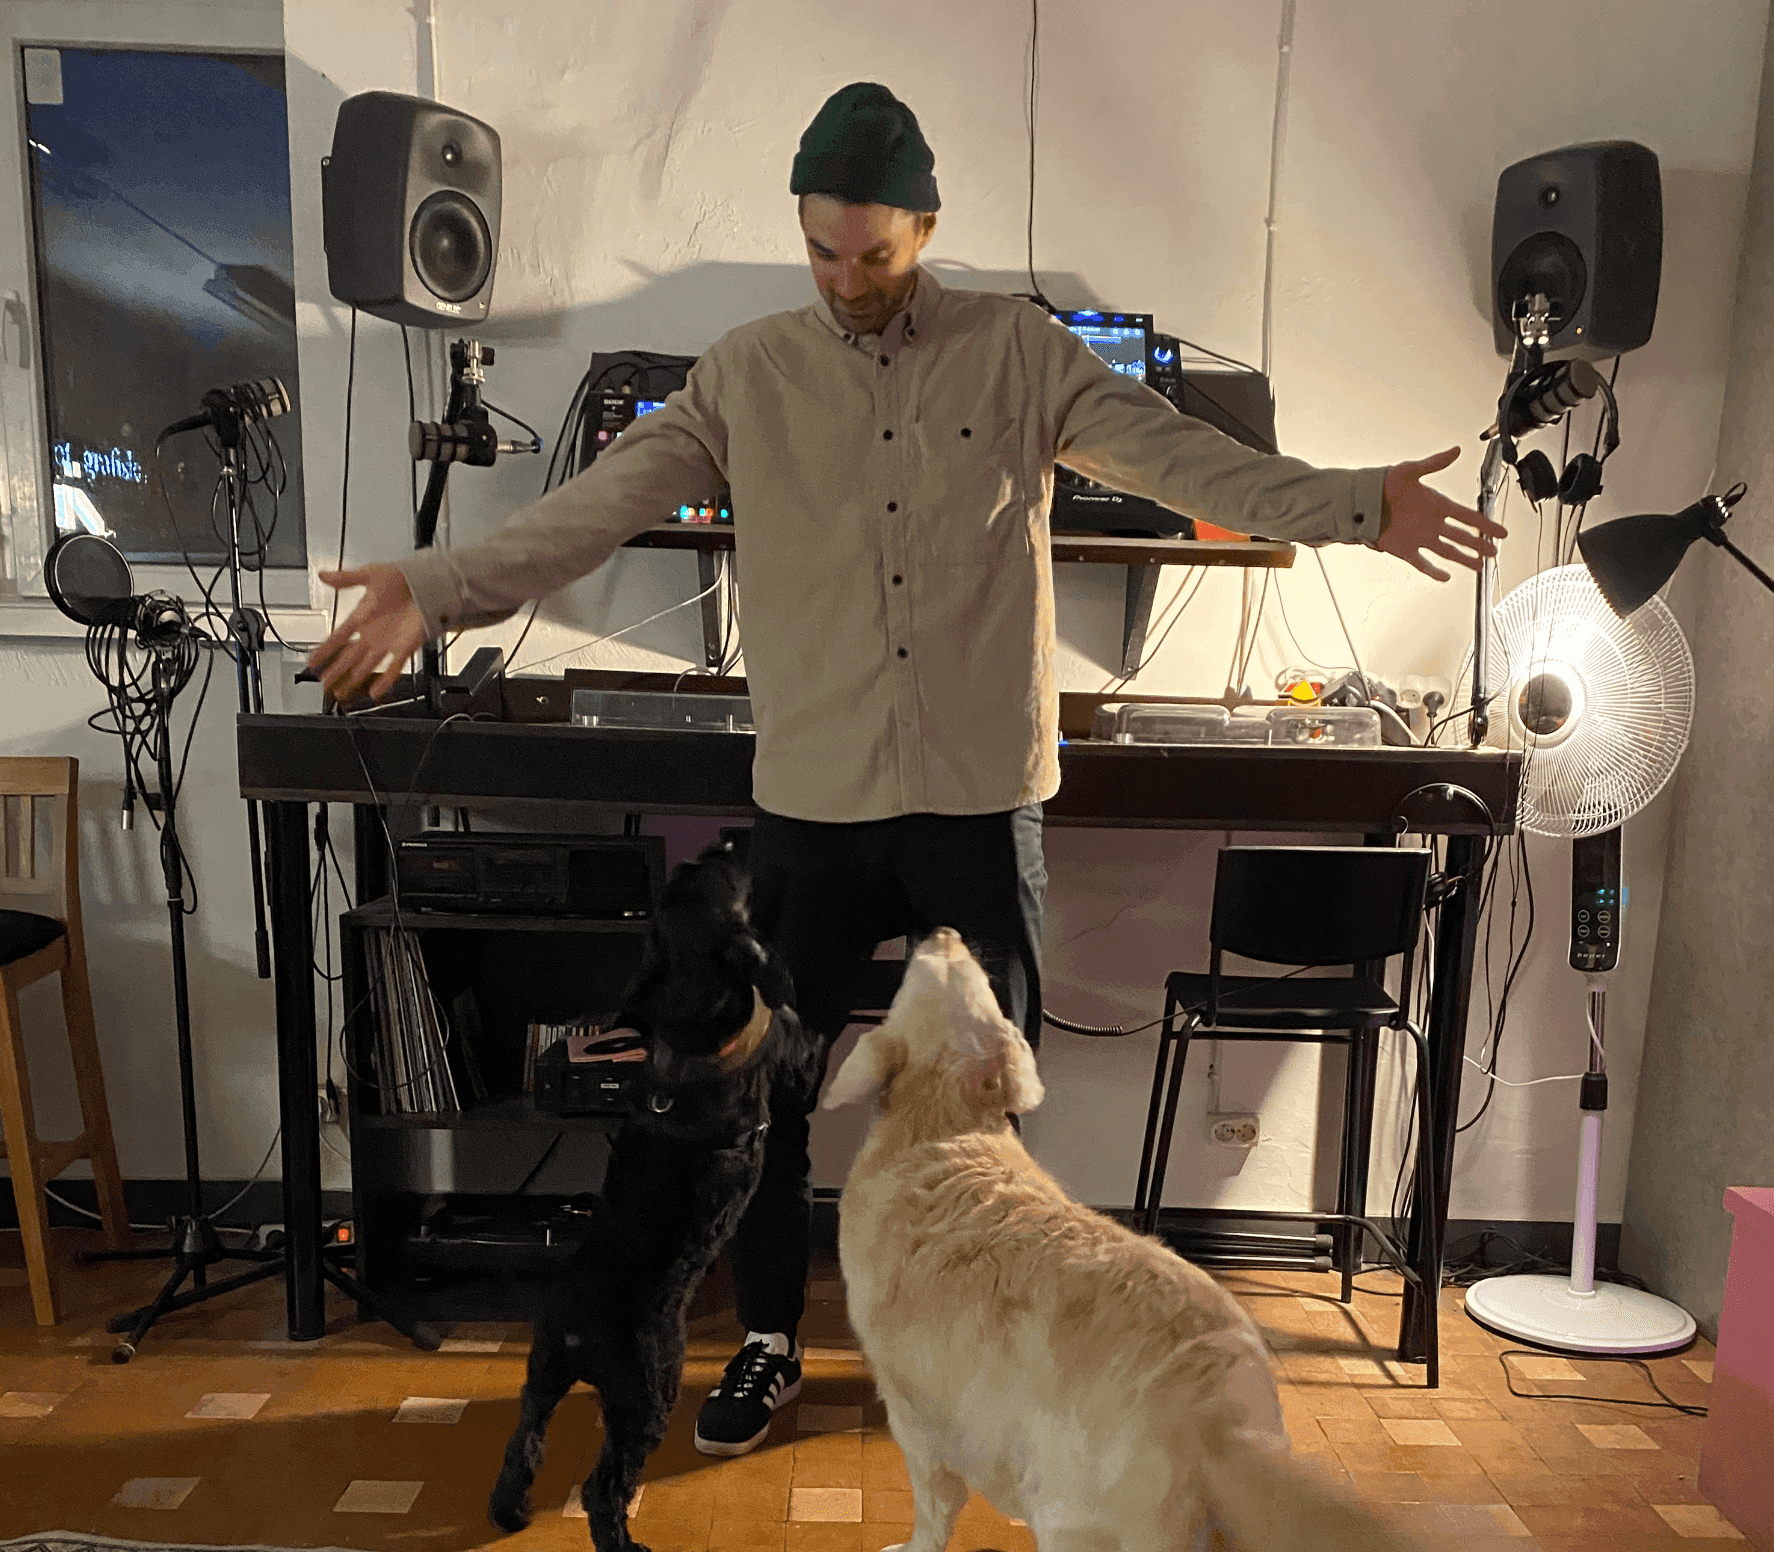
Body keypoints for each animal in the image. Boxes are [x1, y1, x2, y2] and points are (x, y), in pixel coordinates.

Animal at [488, 843, 820, 1552]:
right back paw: (624, 1542)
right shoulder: (788, 1054)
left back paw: (510, 1513)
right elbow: (794, 1028)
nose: (727, 843)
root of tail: (578, 1331)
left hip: (542, 1375)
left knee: (522, 1445)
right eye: (726, 875)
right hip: (647, 1392)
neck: (693, 1013)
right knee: (603, 1486)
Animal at [824, 927, 1430, 1552]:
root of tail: (1218, 1420)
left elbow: (934, 1502)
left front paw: (914, 1544)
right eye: (973, 976)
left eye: (918, 972)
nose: (943, 933)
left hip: (1068, 1511)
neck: (947, 1117)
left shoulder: (914, 1409)